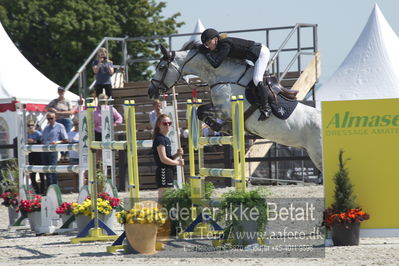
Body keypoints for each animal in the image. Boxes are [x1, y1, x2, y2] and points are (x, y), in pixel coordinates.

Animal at [148, 44, 324, 170]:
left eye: (161, 67)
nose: (150, 91)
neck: (224, 76)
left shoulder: (224, 109)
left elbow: (201, 111)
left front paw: (221, 127)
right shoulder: (218, 107)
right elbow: (201, 111)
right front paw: (224, 127)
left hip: (318, 155)